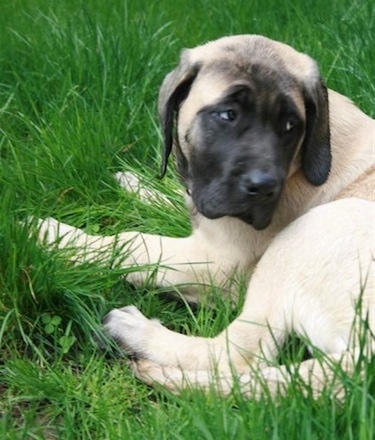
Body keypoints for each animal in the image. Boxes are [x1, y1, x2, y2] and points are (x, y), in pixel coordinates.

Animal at [37, 36, 374, 398]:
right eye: (228, 115)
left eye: (290, 126)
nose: (264, 188)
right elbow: (177, 199)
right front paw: (136, 184)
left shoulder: (218, 260)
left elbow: (134, 243)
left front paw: (57, 236)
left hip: (312, 230)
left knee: (237, 353)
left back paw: (134, 332)